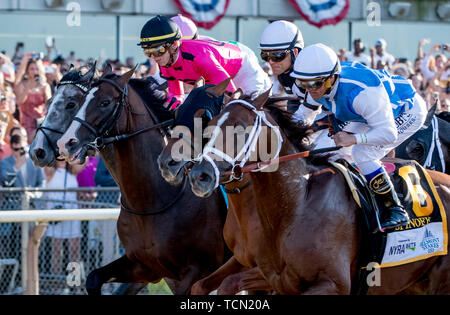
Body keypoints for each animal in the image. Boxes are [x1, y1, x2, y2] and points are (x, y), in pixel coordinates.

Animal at [51, 68, 230, 296]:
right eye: (80, 101)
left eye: (105, 102)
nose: (66, 143)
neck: (155, 198)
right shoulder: (145, 266)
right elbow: (93, 278)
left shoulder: (197, 270)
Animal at [185, 90, 450, 296]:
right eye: (210, 126)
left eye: (240, 129)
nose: (199, 174)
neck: (295, 205)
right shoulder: (268, 274)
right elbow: (206, 285)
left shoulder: (334, 284)